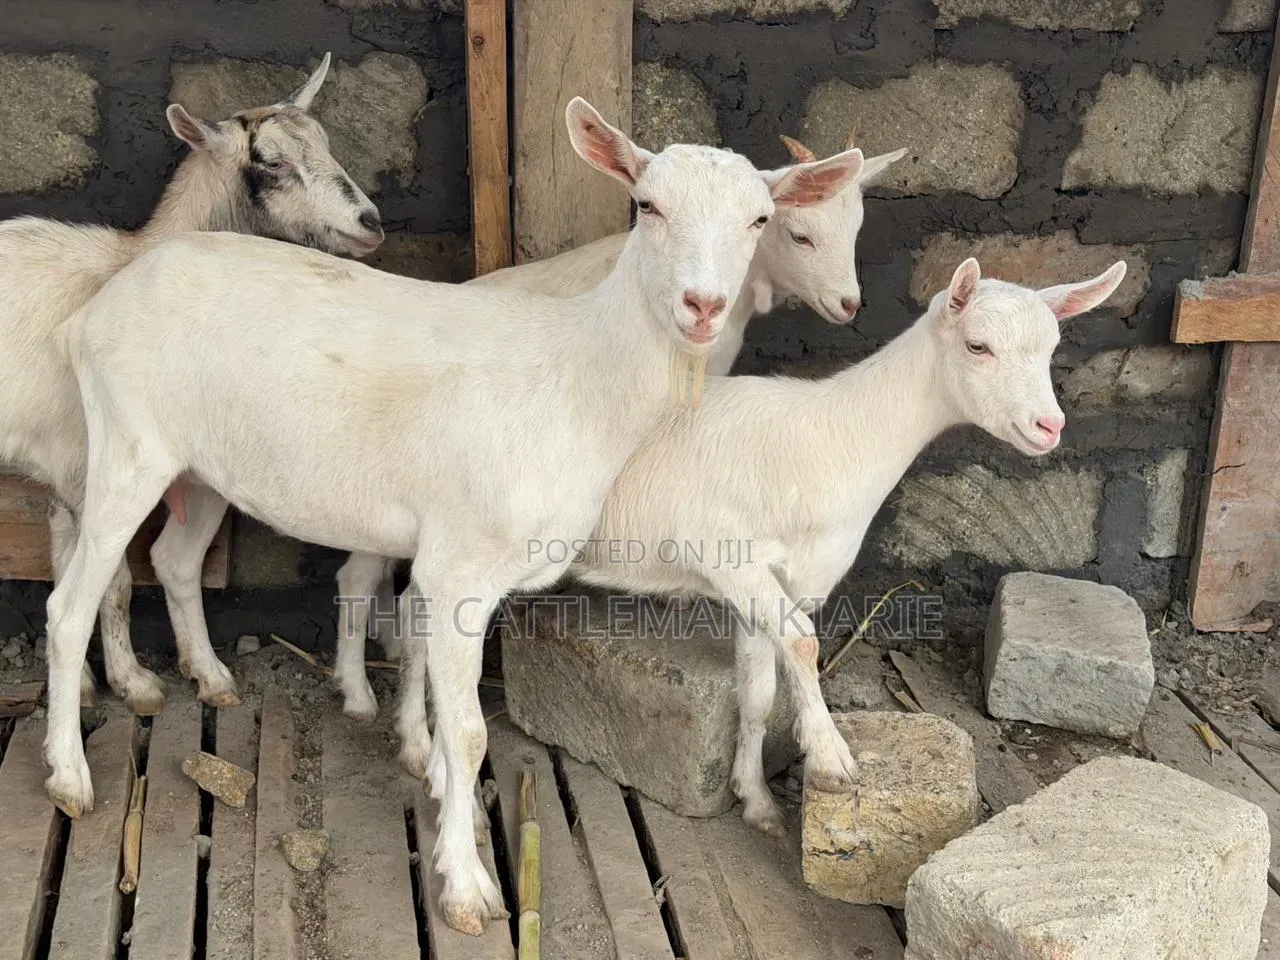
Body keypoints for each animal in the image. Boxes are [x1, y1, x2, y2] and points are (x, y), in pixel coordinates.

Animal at [0, 53, 382, 718]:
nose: (370, 223)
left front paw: (91, 683)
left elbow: (64, 554)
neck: (126, 261)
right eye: (272, 162)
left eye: (327, 143)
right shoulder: (85, 462)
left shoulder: (65, 467)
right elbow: (114, 579)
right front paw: (135, 684)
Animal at [568, 257, 1127, 836]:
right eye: (978, 346)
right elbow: (802, 643)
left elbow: (758, 692)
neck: (830, 439)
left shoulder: (771, 578)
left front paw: (756, 799)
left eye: (1051, 348)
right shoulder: (720, 550)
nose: (1049, 426)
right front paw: (831, 758)